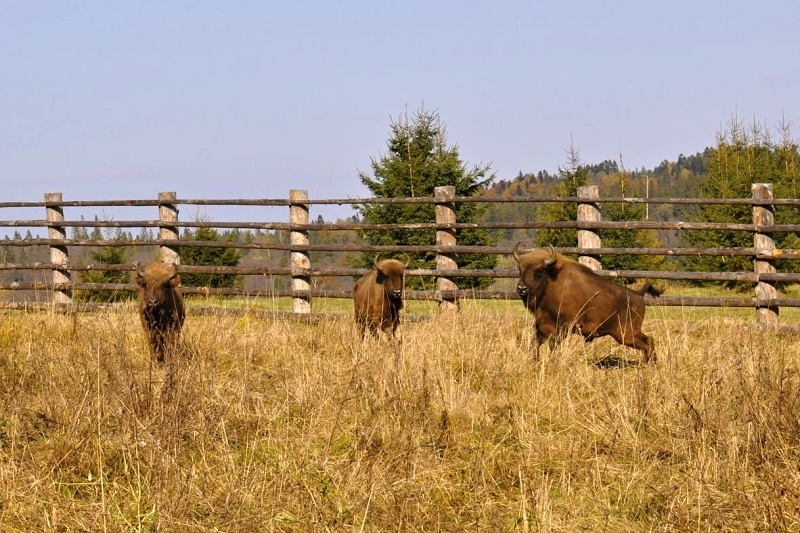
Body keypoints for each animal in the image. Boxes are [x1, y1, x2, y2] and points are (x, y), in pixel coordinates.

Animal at [512, 244, 664, 362]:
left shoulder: (563, 326)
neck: (551, 281)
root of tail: (637, 294)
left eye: (539, 270)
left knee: (648, 342)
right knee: (649, 340)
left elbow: (552, 343)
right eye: (520, 269)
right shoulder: (543, 325)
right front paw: (535, 360)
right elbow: (535, 343)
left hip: (625, 334)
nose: (521, 288)